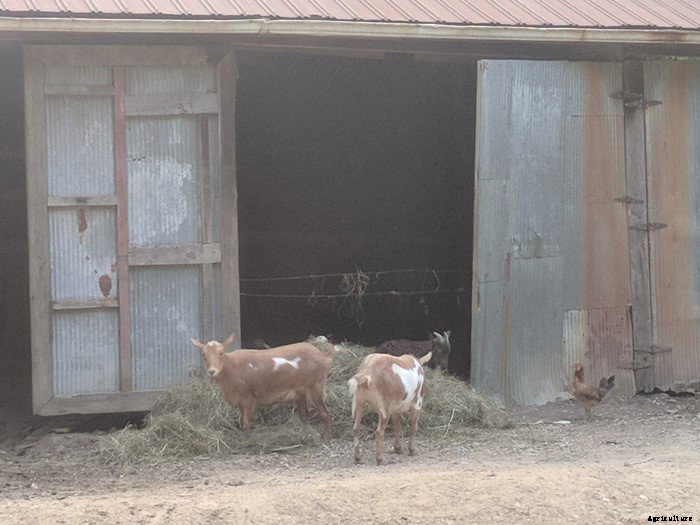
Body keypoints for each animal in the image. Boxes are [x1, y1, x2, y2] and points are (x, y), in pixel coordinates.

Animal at [190, 334, 335, 443]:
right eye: (203, 354)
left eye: (221, 353)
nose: (212, 371)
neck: (232, 367)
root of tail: (324, 356)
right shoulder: (240, 400)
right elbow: (243, 421)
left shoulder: (248, 398)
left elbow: (246, 422)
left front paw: (247, 442)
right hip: (302, 392)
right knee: (304, 415)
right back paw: (305, 434)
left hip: (316, 386)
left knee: (324, 413)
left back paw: (326, 439)